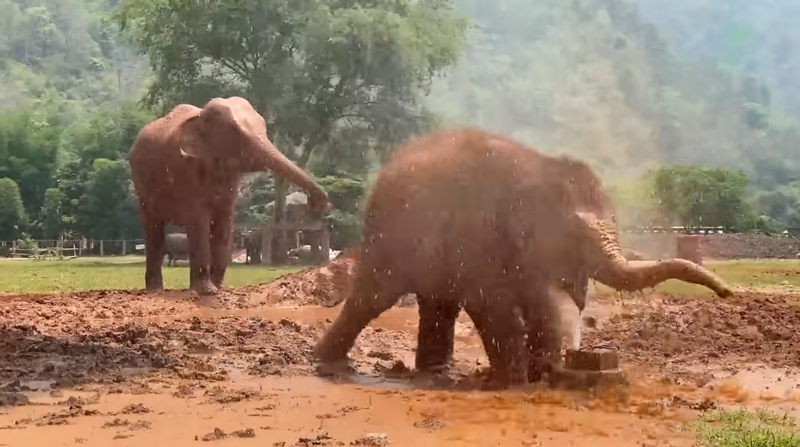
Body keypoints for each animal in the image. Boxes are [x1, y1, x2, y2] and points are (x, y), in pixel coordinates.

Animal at [130, 96, 330, 296]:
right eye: (237, 134)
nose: (316, 204)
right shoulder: (187, 171)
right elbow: (199, 221)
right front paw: (208, 291)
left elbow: (224, 221)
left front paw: (217, 288)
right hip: (142, 184)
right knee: (153, 226)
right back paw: (155, 290)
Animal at [310, 129, 732, 388]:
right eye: (576, 238)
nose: (728, 293)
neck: (537, 167)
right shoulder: (480, 236)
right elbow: (494, 303)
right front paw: (516, 382)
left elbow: (546, 302)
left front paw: (544, 372)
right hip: (388, 235)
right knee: (375, 298)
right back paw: (330, 367)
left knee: (439, 304)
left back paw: (436, 375)